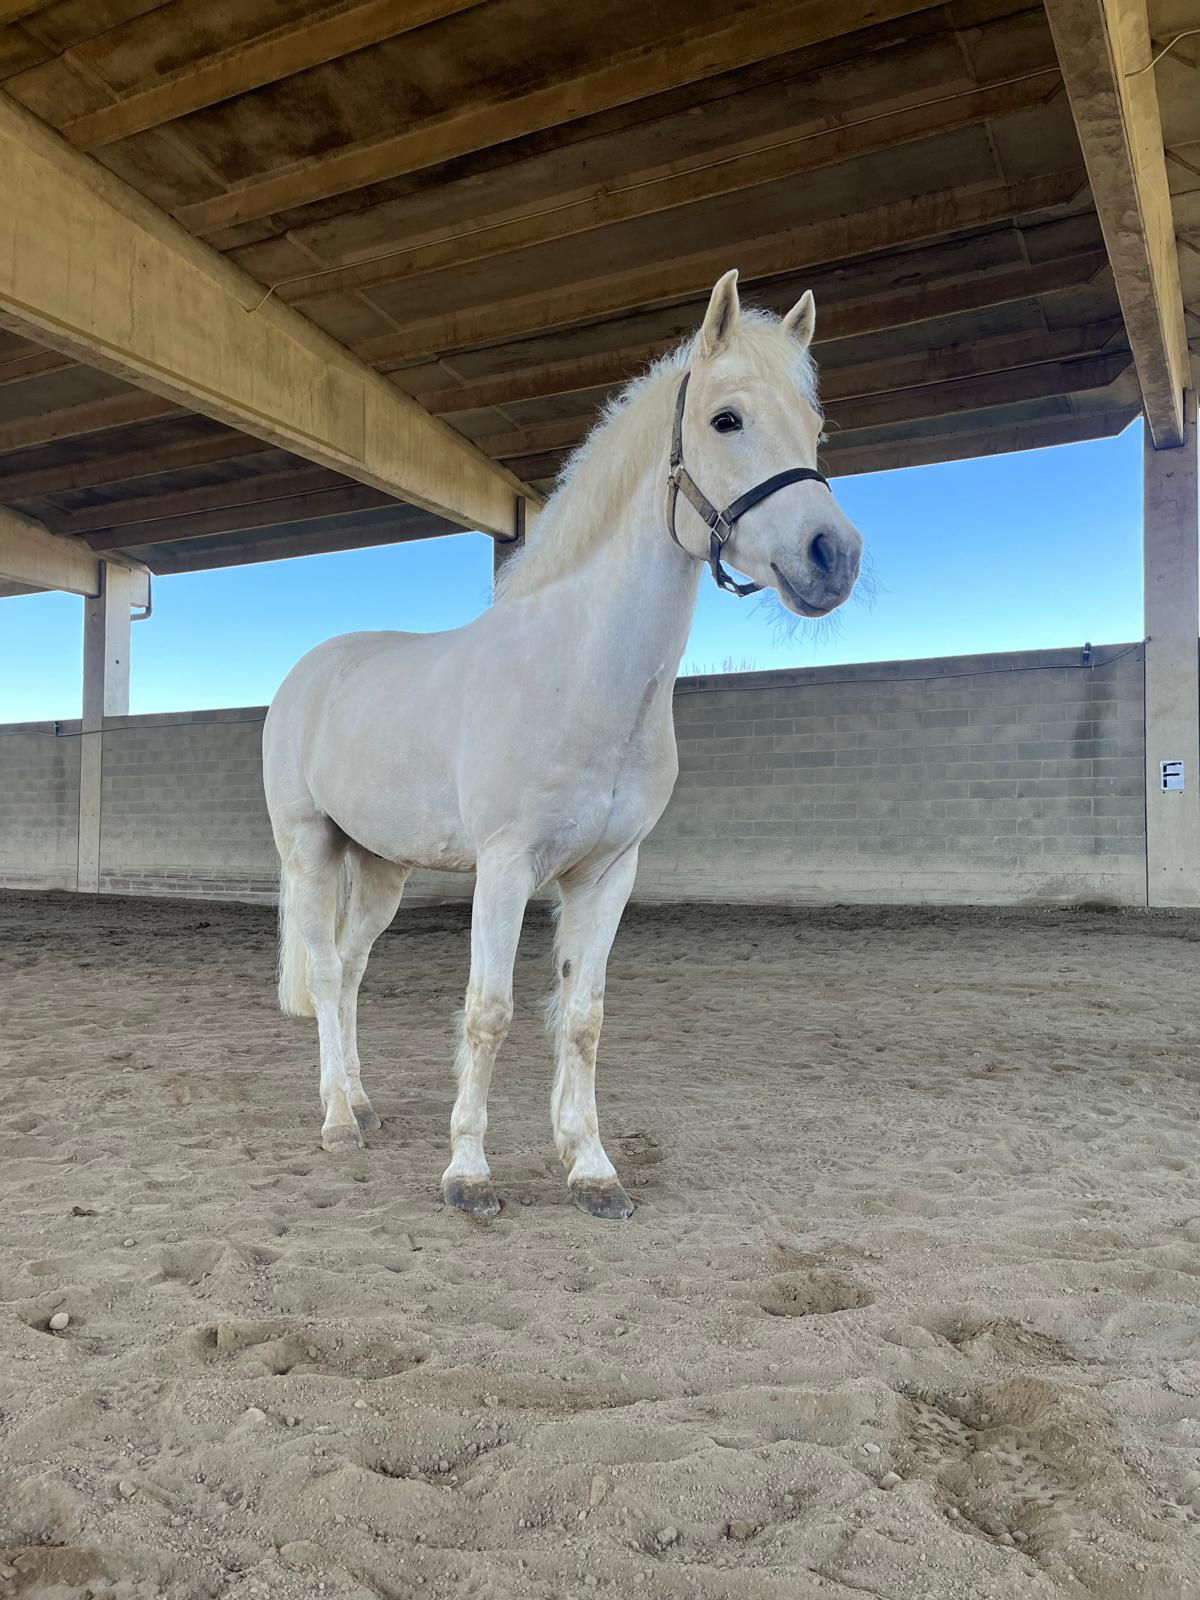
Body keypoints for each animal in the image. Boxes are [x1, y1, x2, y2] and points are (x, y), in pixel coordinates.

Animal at [261, 270, 863, 1222]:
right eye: (726, 418)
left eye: (815, 428)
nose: (831, 556)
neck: (580, 673)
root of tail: (308, 673)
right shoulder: (507, 867)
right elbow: (490, 1010)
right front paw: (469, 1176)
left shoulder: (608, 872)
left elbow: (582, 1015)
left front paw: (592, 1169)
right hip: (310, 846)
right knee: (323, 974)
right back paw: (336, 1123)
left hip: (384, 865)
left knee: (351, 969)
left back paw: (361, 1102)